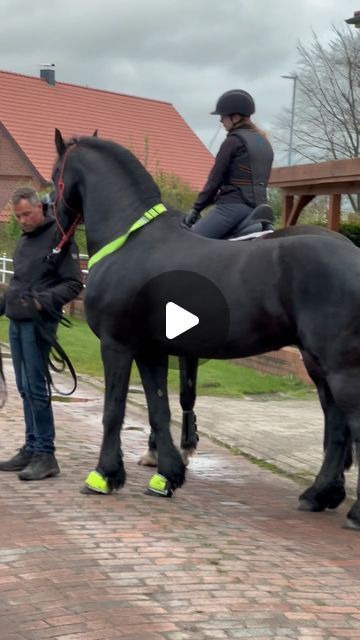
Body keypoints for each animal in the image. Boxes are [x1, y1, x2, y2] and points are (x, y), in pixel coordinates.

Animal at [52, 131, 360, 528]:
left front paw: (105, 476)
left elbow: (114, 410)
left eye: (55, 173)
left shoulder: (116, 345)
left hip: (341, 369)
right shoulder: (151, 351)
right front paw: (167, 475)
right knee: (337, 428)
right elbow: (160, 409)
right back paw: (319, 494)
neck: (133, 242)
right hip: (320, 366)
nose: (51, 215)